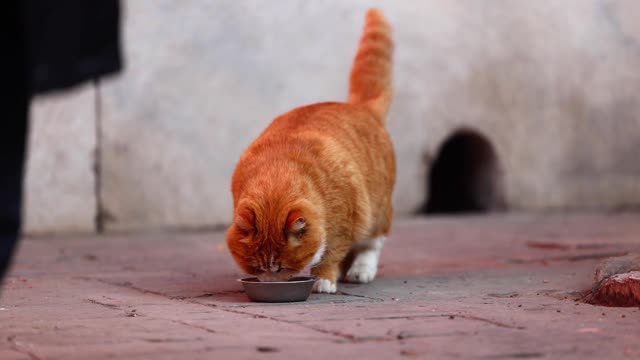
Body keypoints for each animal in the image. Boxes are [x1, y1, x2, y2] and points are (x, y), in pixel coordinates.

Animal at [228, 8, 392, 292]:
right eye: (258, 267)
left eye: (281, 267)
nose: (271, 283)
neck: (278, 173)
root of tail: (360, 107)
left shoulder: (344, 223)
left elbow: (331, 252)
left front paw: (324, 278)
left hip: (376, 212)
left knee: (371, 244)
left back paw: (360, 270)